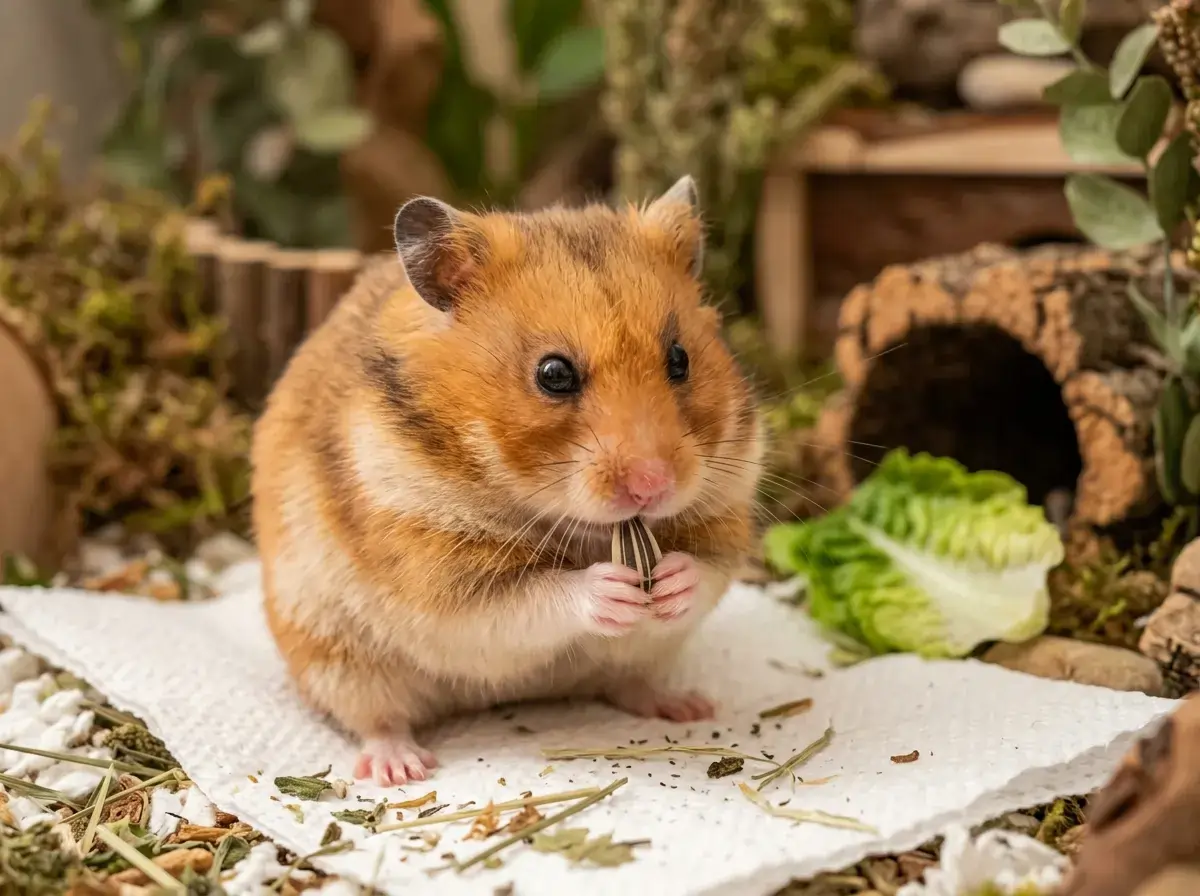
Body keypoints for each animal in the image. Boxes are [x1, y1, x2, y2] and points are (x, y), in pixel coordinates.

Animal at [251, 175, 765, 786]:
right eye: (553, 374)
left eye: (681, 359)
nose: (653, 486)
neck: (579, 526)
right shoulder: (440, 571)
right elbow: (536, 596)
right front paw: (611, 588)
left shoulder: (726, 517)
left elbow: (705, 571)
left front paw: (669, 581)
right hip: (335, 656)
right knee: (377, 719)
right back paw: (400, 768)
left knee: (629, 683)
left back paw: (687, 706)